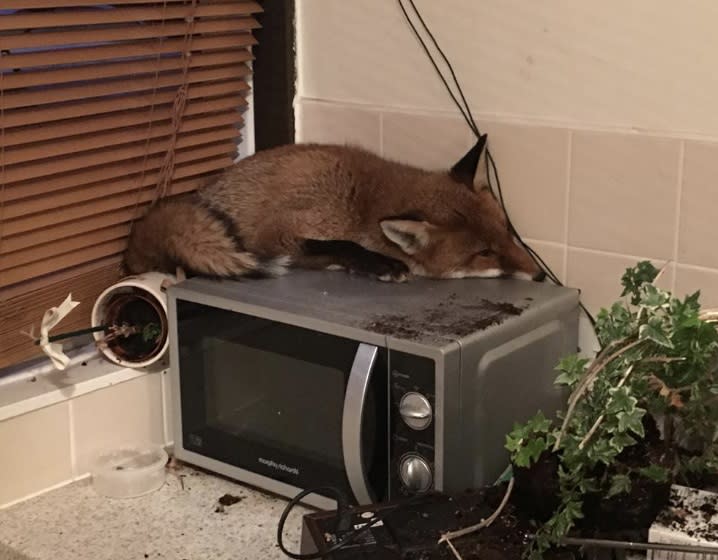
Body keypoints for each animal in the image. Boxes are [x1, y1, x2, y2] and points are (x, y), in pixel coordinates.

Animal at [122, 138, 544, 282]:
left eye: (507, 232)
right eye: (484, 253)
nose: (540, 275)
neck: (362, 203)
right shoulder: (276, 233)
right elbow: (342, 246)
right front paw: (381, 265)